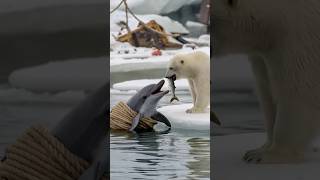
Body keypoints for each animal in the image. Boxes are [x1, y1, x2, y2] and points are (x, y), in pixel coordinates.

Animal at [212, 0, 320, 163]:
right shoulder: (264, 53)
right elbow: (266, 90)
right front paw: (260, 148)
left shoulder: (301, 36)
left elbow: (298, 91)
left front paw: (266, 155)